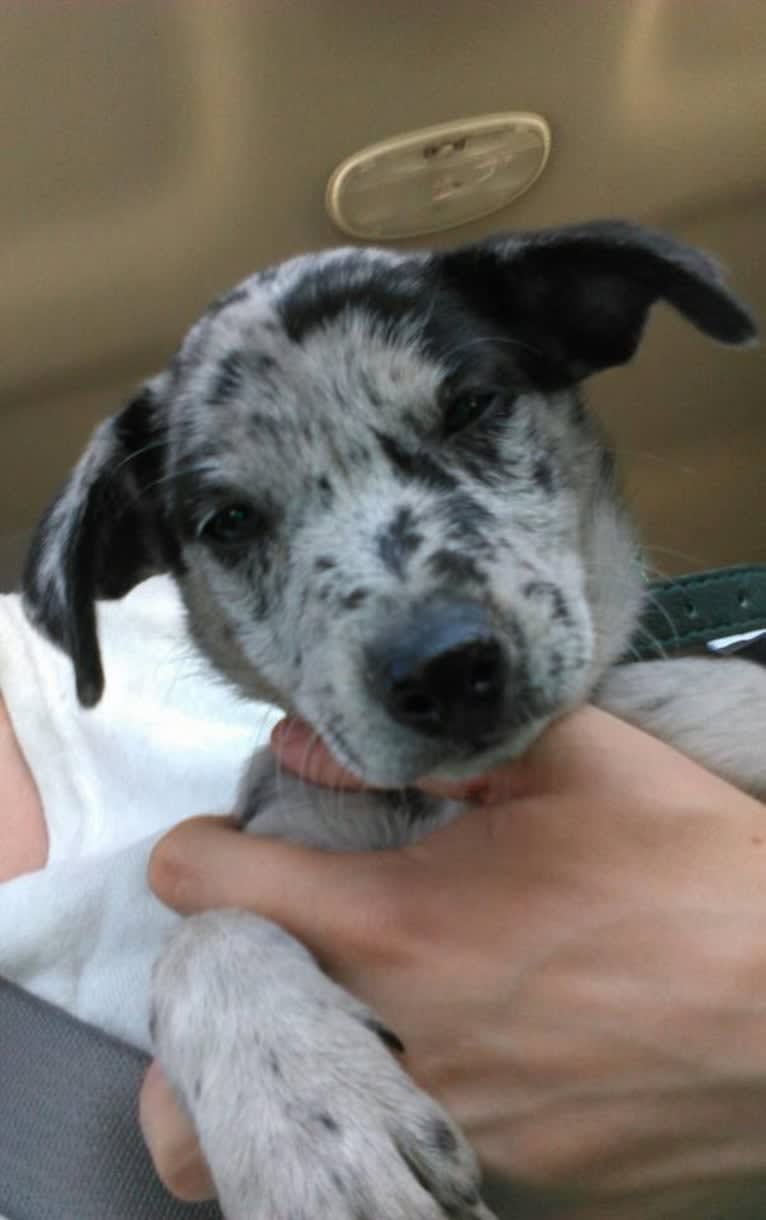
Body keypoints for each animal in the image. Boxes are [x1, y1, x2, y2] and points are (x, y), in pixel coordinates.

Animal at [23, 222, 766, 1220]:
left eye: (474, 407)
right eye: (229, 521)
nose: (443, 668)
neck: (437, 801)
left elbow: (679, 695)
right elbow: (203, 934)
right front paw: (313, 1127)